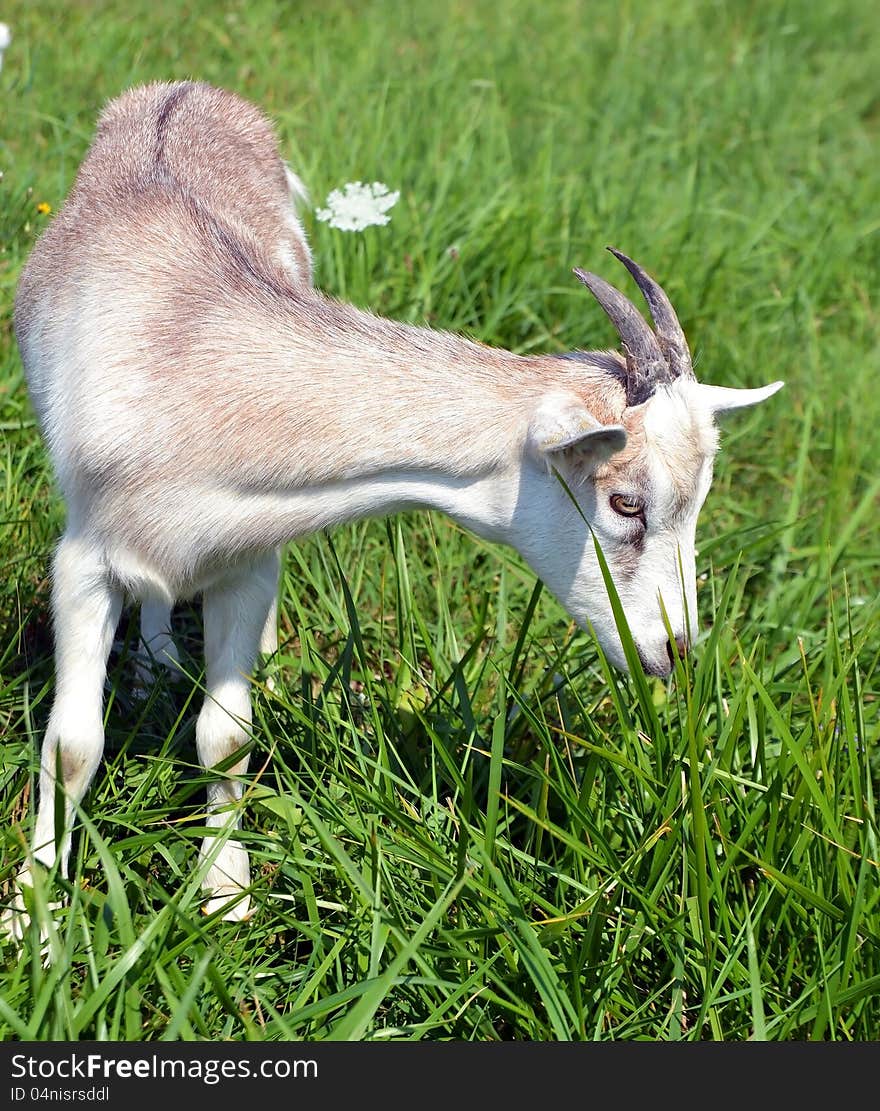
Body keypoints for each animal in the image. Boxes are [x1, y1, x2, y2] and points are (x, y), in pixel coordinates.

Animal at [8, 80, 782, 928]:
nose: (676, 650)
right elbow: (72, 746)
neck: (185, 368)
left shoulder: (246, 557)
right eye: (626, 502)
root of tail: (185, 90)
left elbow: (226, 735)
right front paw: (35, 911)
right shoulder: (82, 563)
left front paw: (224, 891)